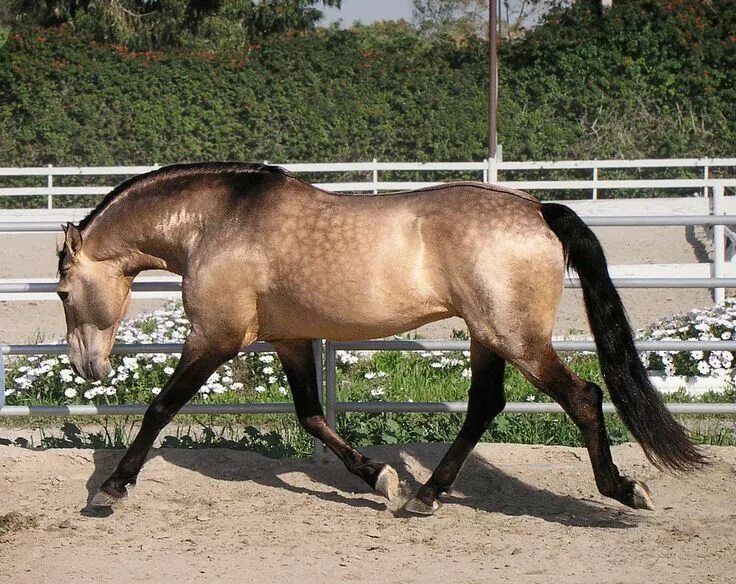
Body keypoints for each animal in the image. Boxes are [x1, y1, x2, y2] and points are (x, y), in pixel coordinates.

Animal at [56, 162, 700, 512]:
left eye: (62, 292)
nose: (88, 368)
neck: (219, 223)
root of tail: (538, 209)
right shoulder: (290, 340)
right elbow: (312, 417)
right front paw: (381, 478)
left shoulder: (216, 337)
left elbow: (160, 407)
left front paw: (112, 487)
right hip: (487, 336)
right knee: (484, 405)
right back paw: (425, 494)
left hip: (517, 339)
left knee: (584, 397)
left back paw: (622, 489)